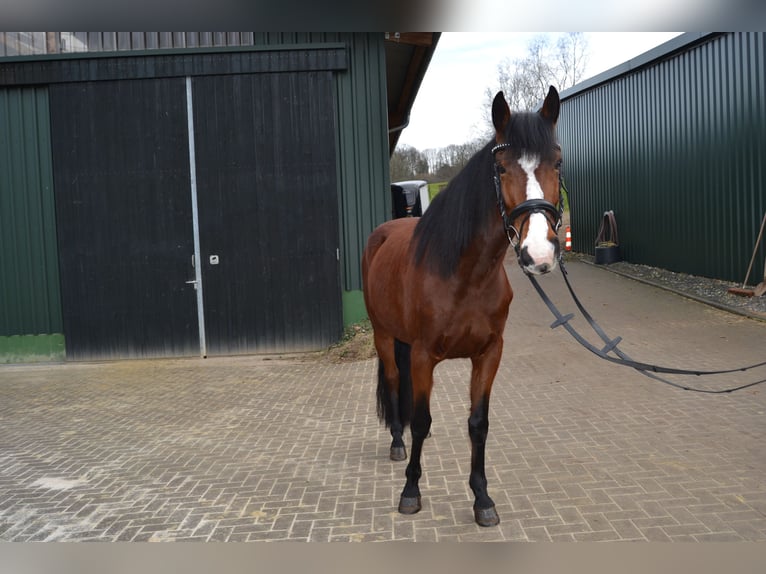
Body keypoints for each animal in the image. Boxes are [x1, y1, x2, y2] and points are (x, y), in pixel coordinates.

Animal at [360, 86, 564, 532]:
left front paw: (482, 498)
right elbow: (421, 420)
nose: (539, 254)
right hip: (384, 335)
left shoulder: (488, 354)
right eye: (501, 168)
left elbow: (478, 424)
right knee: (393, 380)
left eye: (557, 162)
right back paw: (397, 443)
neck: (464, 274)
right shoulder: (423, 356)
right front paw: (410, 492)